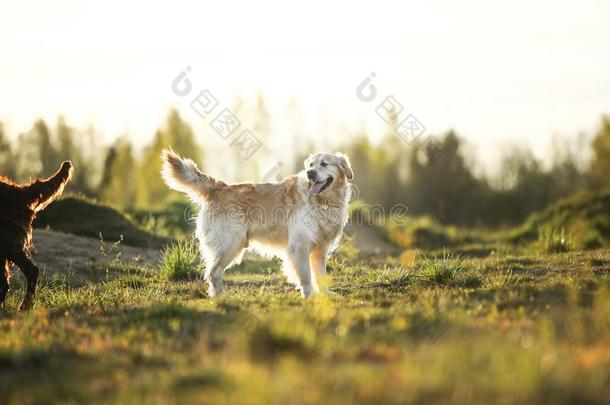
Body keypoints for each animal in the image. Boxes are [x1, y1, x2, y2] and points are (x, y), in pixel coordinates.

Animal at [159, 148, 354, 296]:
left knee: (213, 273)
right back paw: (221, 297)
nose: (310, 173)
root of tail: (220, 187)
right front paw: (308, 296)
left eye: (324, 164)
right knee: (213, 273)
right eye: (311, 165)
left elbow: (321, 275)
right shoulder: (299, 245)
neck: (323, 202)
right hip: (230, 244)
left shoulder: (321, 248)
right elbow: (305, 276)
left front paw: (325, 295)